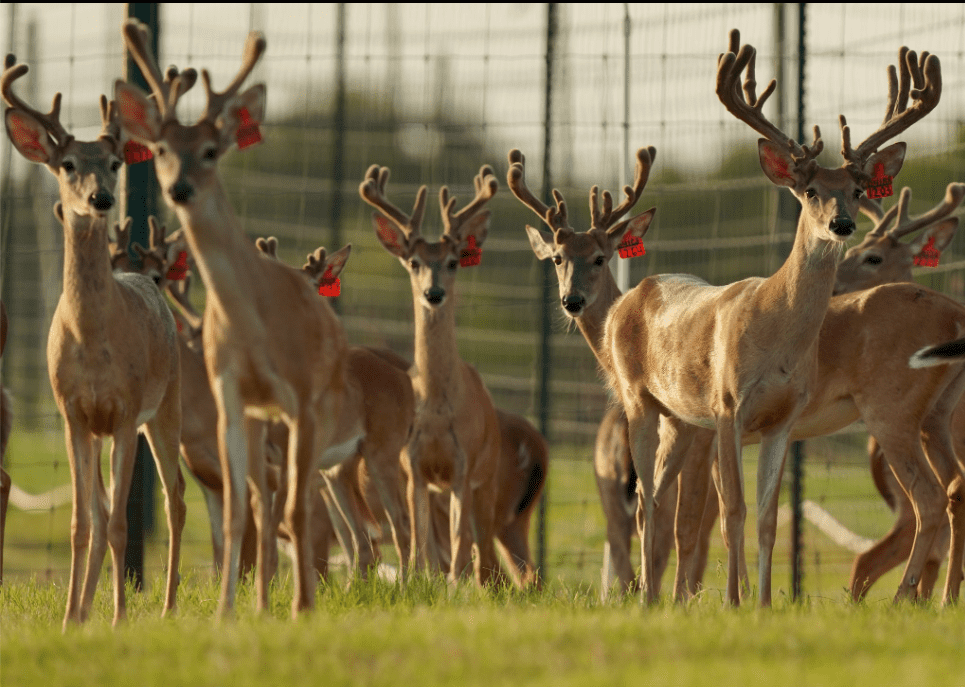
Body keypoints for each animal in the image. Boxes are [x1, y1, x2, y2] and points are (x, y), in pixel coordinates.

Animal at [2, 54, 185, 627]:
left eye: (115, 163)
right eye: (66, 165)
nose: (100, 199)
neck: (91, 339)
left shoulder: (125, 413)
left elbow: (124, 524)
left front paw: (119, 618)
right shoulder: (73, 415)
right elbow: (83, 524)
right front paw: (68, 618)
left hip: (166, 407)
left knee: (175, 499)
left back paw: (167, 606)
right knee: (103, 512)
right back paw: (84, 609)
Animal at [115, 19, 351, 617]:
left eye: (210, 149)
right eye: (159, 148)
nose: (178, 188)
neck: (255, 328)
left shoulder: (300, 397)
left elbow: (293, 509)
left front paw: (301, 607)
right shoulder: (230, 395)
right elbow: (238, 513)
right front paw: (228, 611)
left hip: (312, 408)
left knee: (300, 503)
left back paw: (299, 595)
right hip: (260, 415)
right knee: (264, 501)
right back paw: (263, 598)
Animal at [360, 164, 504, 585]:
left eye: (454, 261)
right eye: (414, 262)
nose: (433, 293)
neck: (439, 410)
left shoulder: (464, 466)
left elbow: (459, 543)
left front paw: (455, 587)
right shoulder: (414, 467)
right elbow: (414, 540)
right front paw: (413, 582)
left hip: (489, 473)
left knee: (482, 549)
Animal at [510, 29, 955, 607]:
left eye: (858, 191)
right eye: (809, 191)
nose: (842, 223)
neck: (775, 328)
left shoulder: (779, 419)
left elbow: (761, 517)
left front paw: (754, 601)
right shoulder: (725, 409)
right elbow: (732, 513)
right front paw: (734, 601)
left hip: (883, 411)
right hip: (643, 403)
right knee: (650, 503)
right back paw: (649, 598)